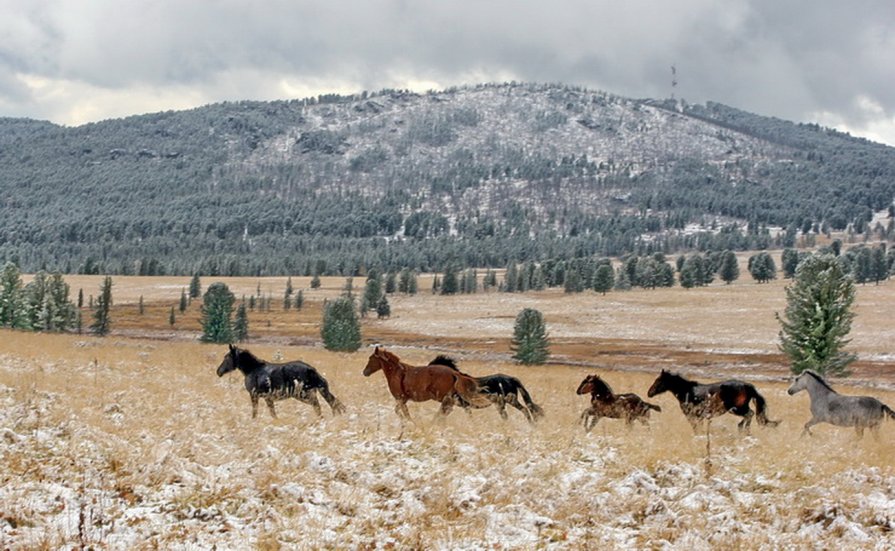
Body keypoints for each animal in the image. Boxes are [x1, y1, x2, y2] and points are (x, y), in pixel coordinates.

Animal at [215, 344, 344, 418]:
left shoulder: (255, 396)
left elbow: (256, 413)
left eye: (227, 357)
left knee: (317, 407)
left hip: (304, 395)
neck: (254, 370)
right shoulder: (267, 398)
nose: (218, 371)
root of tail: (310, 369)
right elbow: (273, 413)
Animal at [362, 348, 490, 420]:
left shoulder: (401, 399)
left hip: (442, 396)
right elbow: (401, 412)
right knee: (458, 407)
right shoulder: (403, 400)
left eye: (371, 358)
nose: (365, 372)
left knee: (450, 408)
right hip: (450, 396)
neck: (396, 373)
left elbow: (402, 413)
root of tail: (454, 372)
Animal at [648, 368, 780, 434]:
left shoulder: (692, 416)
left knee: (749, 414)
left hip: (737, 408)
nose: (649, 393)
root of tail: (747, 386)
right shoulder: (699, 417)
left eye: (658, 380)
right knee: (750, 414)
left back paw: (743, 429)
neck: (687, 391)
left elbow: (695, 429)